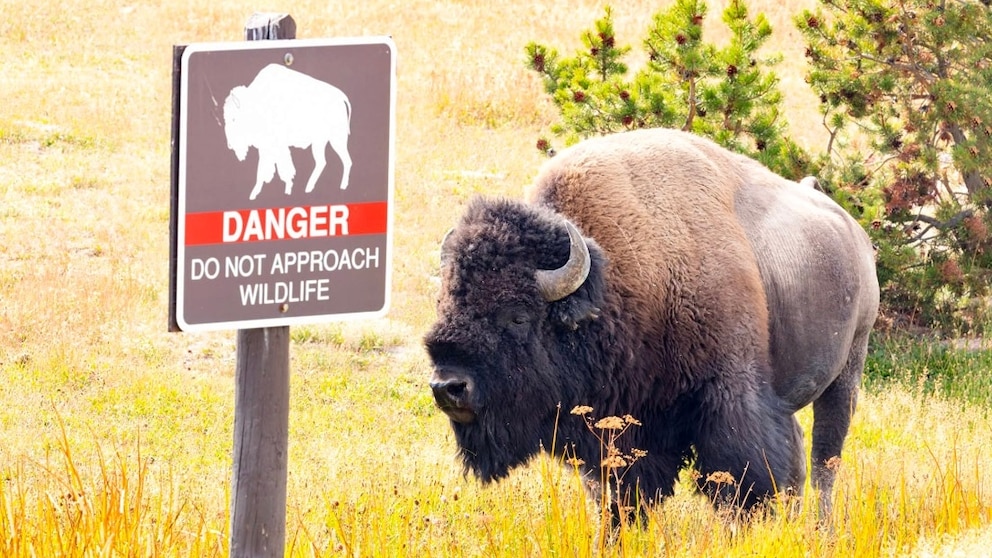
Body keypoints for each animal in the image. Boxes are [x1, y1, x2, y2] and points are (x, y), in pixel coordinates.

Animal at [424, 128, 879, 517]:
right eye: (445, 304)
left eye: (519, 316)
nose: (448, 387)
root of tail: (854, 234)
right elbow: (617, 494)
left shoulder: (729, 398)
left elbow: (741, 479)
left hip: (847, 372)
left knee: (825, 460)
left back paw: (821, 527)